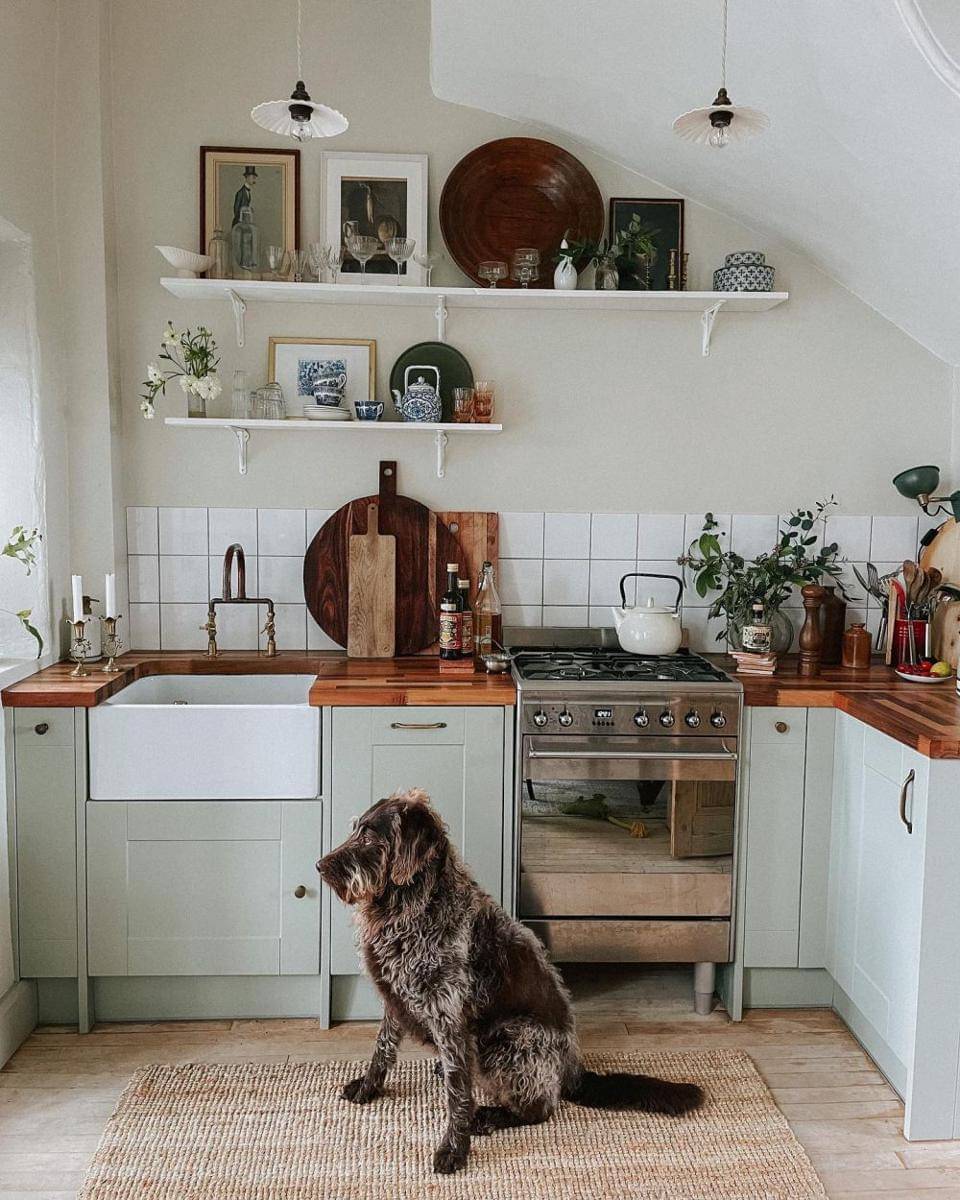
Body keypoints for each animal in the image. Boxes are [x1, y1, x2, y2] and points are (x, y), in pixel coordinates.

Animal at [317, 788, 704, 1175]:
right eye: (356, 830)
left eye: (370, 837)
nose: (320, 866)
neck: (411, 907)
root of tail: (574, 1071)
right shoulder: (395, 998)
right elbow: (381, 1050)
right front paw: (368, 1088)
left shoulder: (449, 1016)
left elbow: (458, 1094)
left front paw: (454, 1148)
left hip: (508, 1039)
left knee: (541, 1109)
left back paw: (490, 1115)